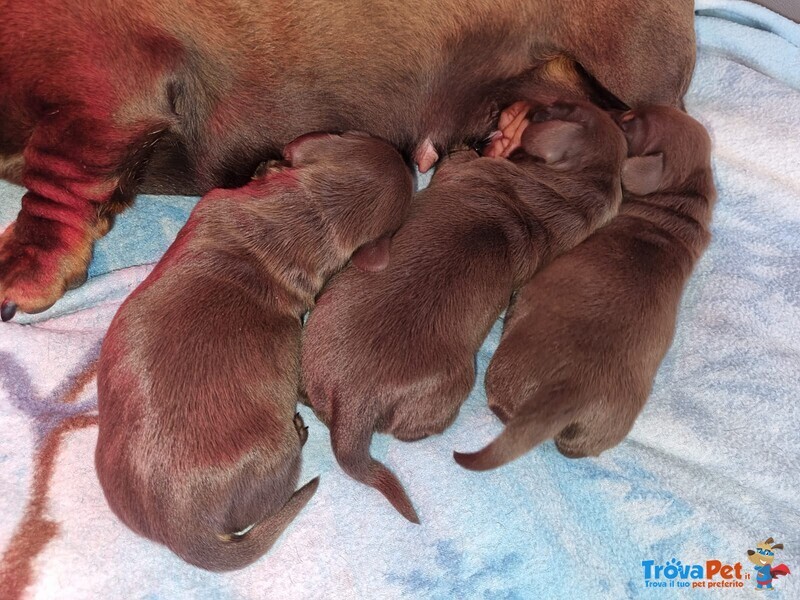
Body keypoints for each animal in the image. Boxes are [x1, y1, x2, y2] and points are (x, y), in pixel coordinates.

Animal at [300, 101, 624, 524]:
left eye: (561, 109)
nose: (534, 105)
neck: (557, 200)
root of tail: (355, 403)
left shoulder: (464, 166)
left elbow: (458, 161)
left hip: (452, 384)